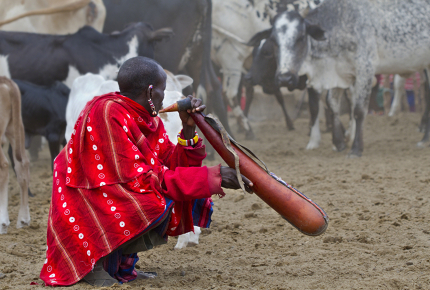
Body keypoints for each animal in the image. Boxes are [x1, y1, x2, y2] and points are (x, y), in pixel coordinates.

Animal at [268, 0, 430, 156]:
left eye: (301, 37)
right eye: (274, 40)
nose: (284, 78)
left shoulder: (365, 70)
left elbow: (359, 110)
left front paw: (356, 149)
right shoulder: (338, 73)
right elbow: (332, 104)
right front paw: (339, 143)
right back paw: (425, 139)